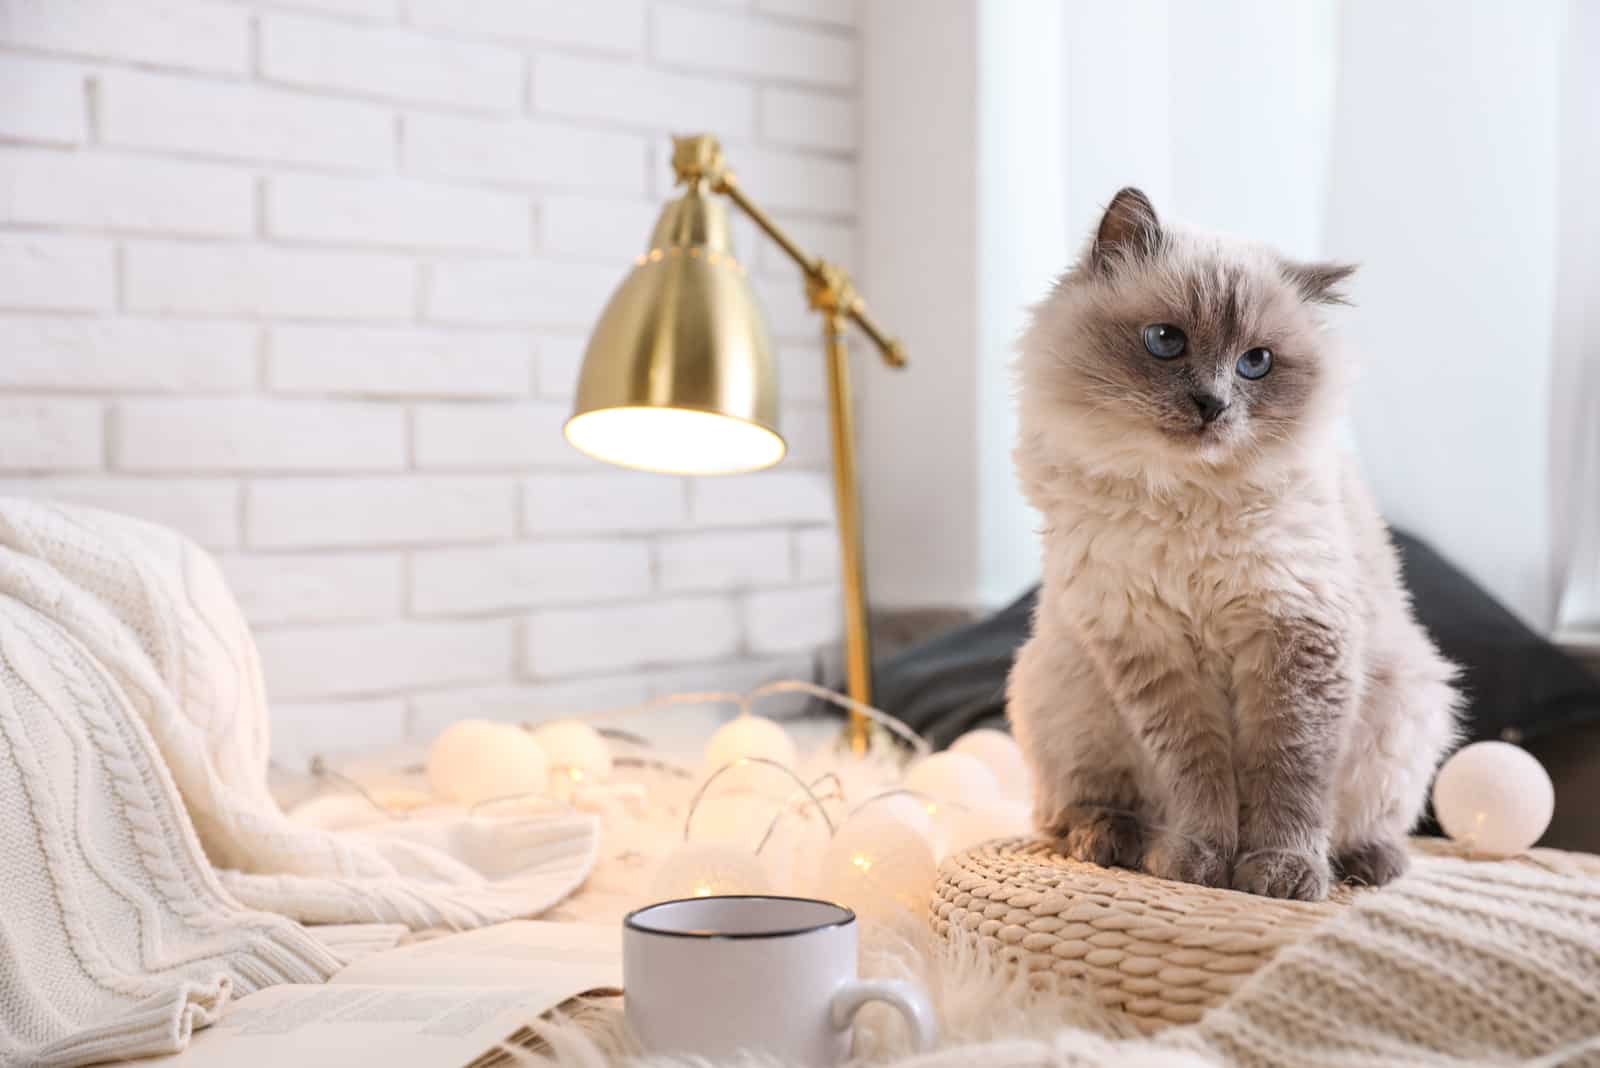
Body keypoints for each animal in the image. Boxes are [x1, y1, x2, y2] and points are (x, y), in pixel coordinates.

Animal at [1011, 187, 1465, 895]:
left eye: (1257, 363)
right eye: (1165, 342)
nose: (1212, 404)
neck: (1185, 500)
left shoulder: (1295, 639)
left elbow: (1288, 778)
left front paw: (1276, 876)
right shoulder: (1151, 649)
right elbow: (1198, 777)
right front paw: (1199, 866)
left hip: (1409, 707)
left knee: (1374, 822)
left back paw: (1365, 866)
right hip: (1059, 688)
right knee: (1078, 805)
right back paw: (1108, 843)